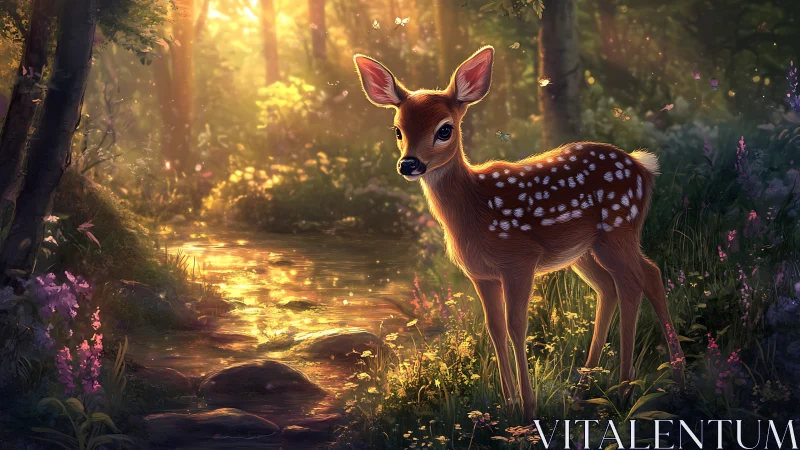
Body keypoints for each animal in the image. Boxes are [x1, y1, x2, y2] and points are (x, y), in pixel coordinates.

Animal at [353, 45, 685, 421]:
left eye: (444, 129)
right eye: (397, 130)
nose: (409, 164)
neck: (474, 208)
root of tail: (644, 166)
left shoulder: (519, 259)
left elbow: (517, 327)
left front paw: (528, 408)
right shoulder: (481, 274)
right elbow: (495, 328)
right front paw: (508, 403)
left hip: (617, 229)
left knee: (637, 280)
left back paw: (629, 389)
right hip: (584, 251)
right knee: (622, 283)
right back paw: (597, 389)